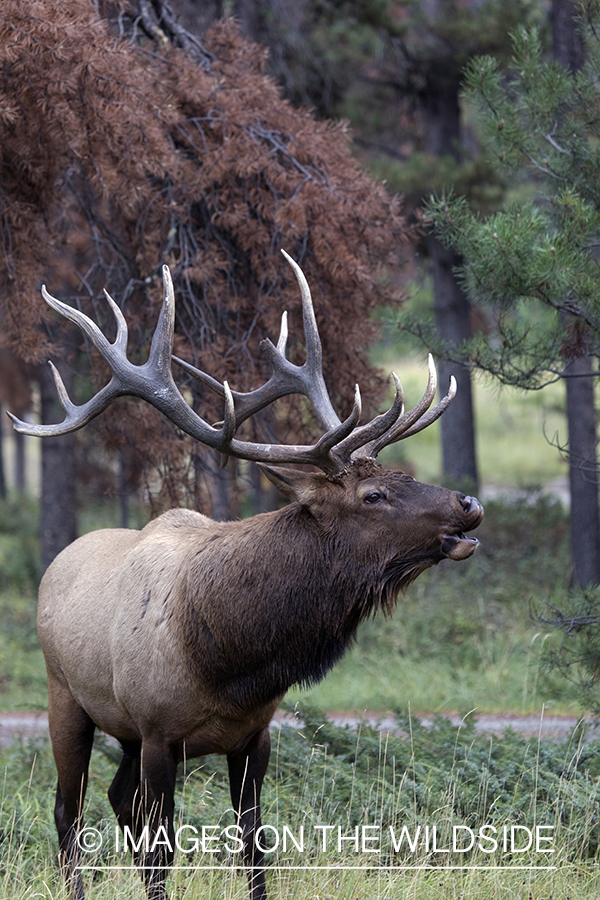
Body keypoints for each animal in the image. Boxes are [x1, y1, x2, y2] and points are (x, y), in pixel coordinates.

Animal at [8, 251, 482, 900]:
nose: (468, 503)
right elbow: (161, 853)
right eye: (374, 495)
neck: (231, 658)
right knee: (68, 810)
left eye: (404, 474)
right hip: (67, 699)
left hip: (122, 730)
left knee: (114, 798)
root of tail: (58, 562)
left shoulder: (254, 735)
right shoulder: (158, 733)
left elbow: (255, 847)